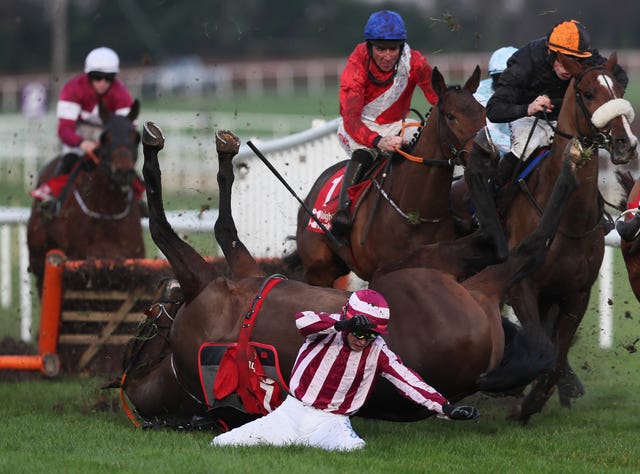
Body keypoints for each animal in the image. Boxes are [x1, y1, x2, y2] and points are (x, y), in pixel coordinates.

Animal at [114, 123, 580, 430]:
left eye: (152, 312)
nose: (166, 290)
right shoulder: (215, 283)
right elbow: (185, 229)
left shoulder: (233, 275)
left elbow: (216, 228)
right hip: (425, 271)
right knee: (509, 248)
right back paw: (543, 167)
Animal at [458, 52, 636, 422]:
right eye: (588, 93)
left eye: (618, 88)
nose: (626, 143)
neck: (570, 220)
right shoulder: (523, 286)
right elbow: (541, 344)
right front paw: (516, 395)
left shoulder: (576, 294)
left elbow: (556, 354)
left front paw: (537, 398)